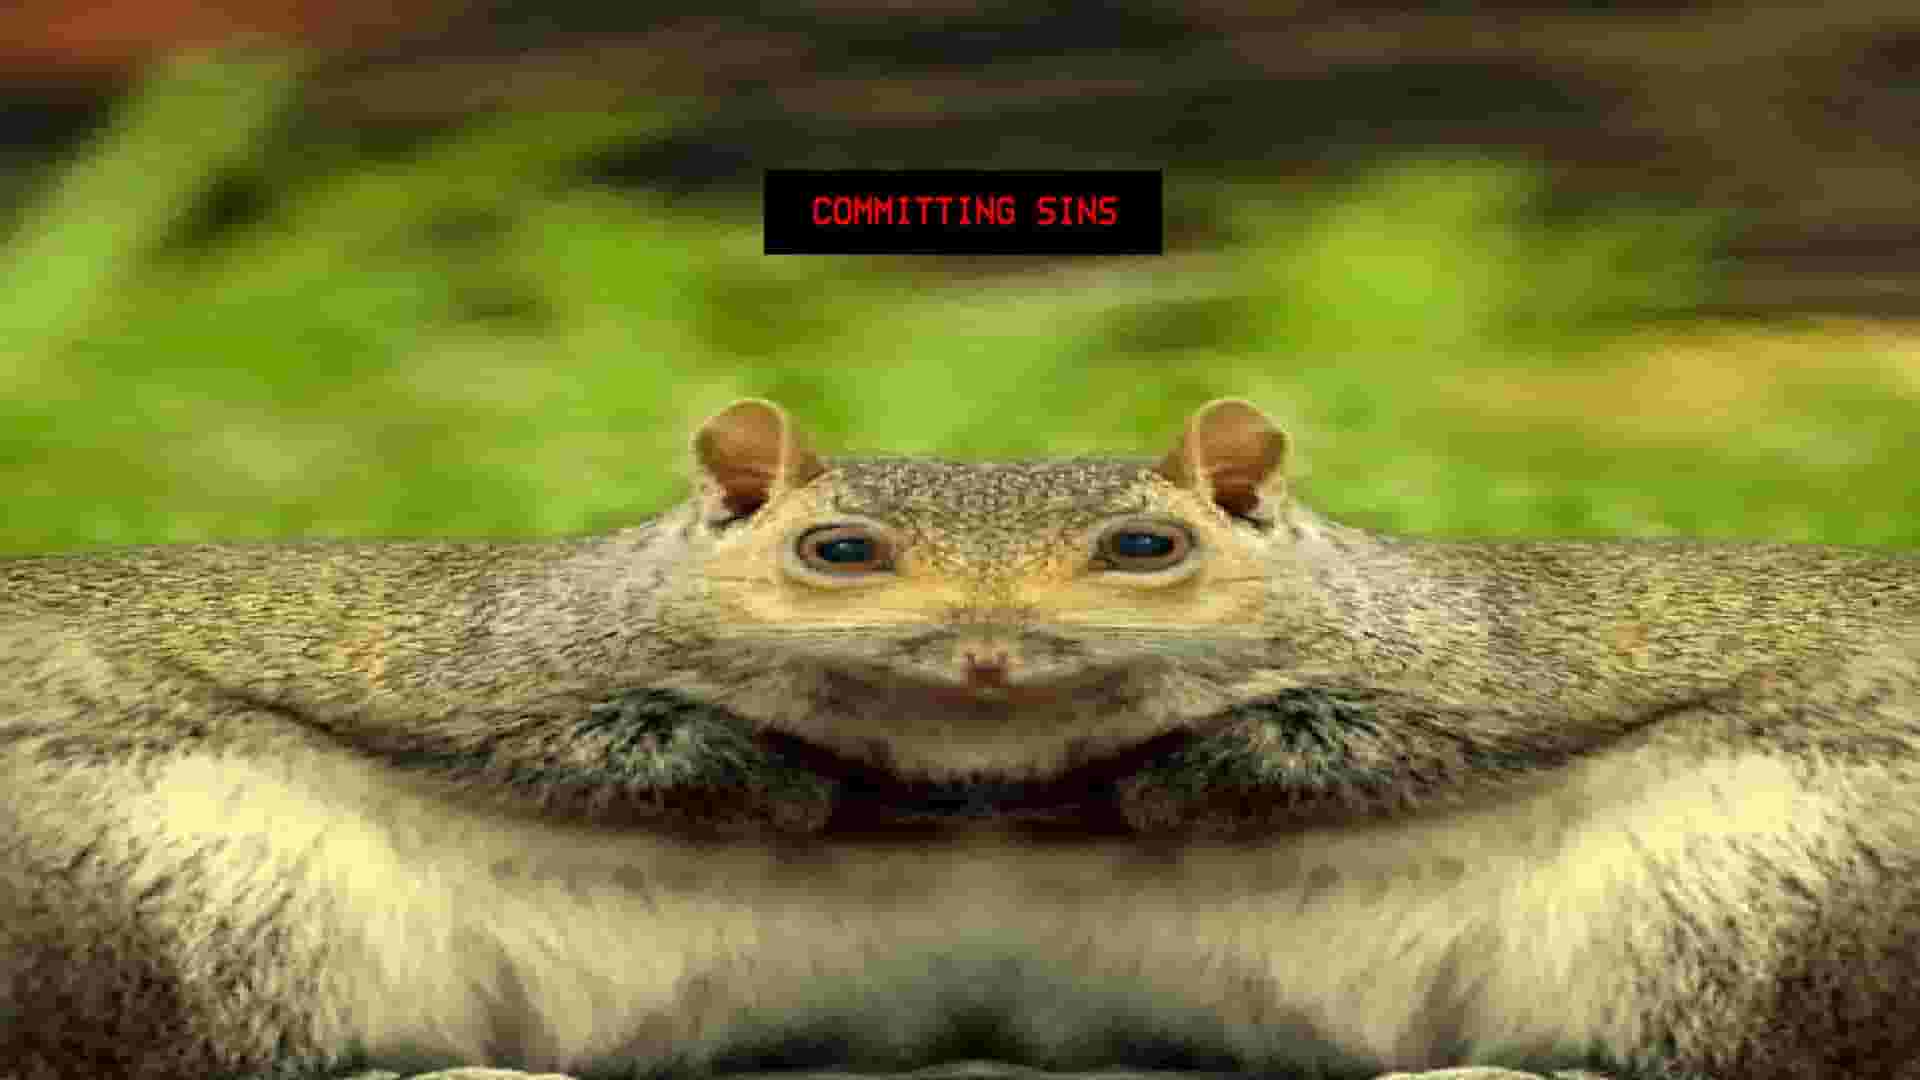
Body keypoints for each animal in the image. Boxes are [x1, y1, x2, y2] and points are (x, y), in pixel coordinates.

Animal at [2, 396, 1918, 1080]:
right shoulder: (513, 670)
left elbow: (1330, 748)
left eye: (1152, 546)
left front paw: (1138, 780)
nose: (991, 657)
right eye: (832, 549)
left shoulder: (1454, 671)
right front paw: (815, 782)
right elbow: (633, 749)